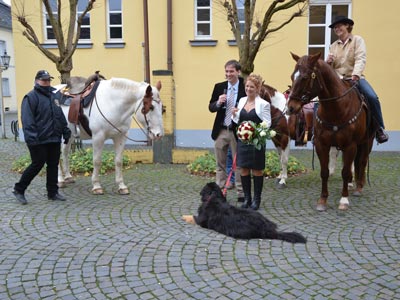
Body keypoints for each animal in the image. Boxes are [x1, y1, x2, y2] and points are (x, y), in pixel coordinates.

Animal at [288, 52, 376, 211]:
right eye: (293, 76)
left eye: (305, 77)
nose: (291, 107)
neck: (336, 109)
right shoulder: (322, 144)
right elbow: (325, 172)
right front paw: (322, 200)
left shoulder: (350, 145)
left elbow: (345, 171)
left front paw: (344, 200)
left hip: (367, 141)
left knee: (362, 161)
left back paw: (359, 187)